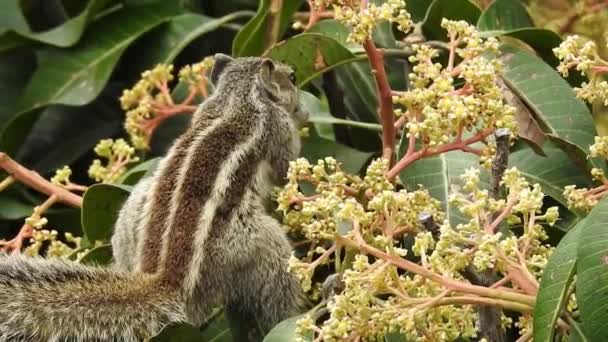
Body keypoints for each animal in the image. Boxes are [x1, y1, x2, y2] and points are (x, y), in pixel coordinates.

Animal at [0, 54, 308, 340]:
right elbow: (285, 167)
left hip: (133, 208)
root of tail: (167, 280)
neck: (238, 96)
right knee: (277, 295)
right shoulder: (277, 130)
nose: (305, 112)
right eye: (292, 77)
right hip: (259, 245)